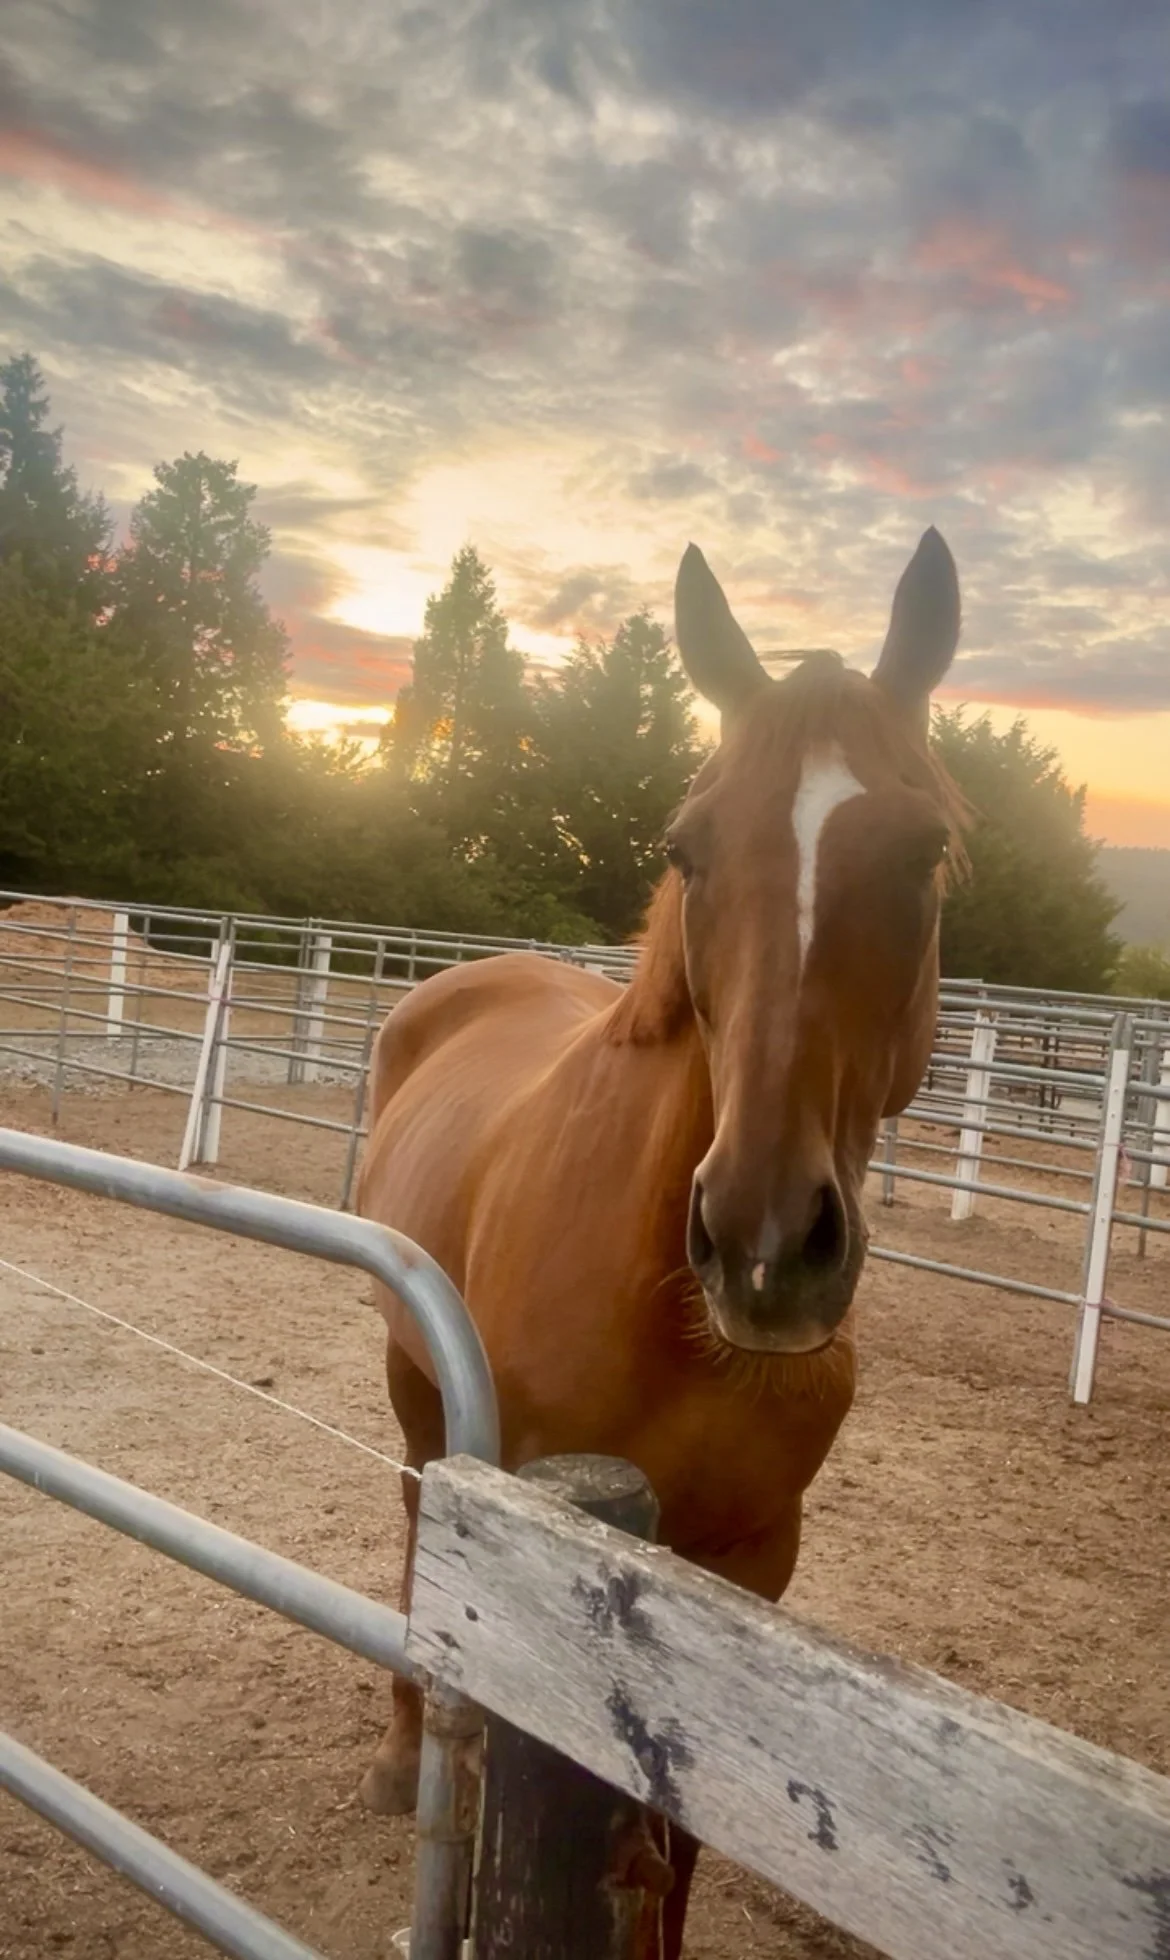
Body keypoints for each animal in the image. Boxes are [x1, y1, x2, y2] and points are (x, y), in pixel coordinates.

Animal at [356, 527, 964, 1952]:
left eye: (925, 853)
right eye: (689, 848)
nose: (761, 1237)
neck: (668, 1323)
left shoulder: (747, 1566)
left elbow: (676, 1849)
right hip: (416, 1388)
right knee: (410, 1519)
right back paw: (406, 1752)